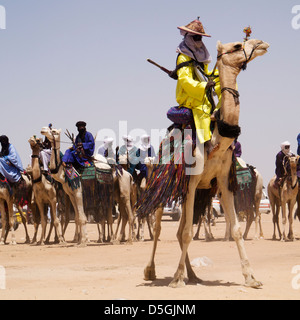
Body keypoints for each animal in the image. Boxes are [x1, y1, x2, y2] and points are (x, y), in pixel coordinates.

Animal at [141, 37, 270, 288]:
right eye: (237, 45)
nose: (261, 43)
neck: (216, 140)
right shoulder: (191, 181)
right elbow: (186, 233)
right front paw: (175, 280)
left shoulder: (223, 181)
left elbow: (235, 229)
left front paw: (251, 278)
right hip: (162, 185)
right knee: (160, 227)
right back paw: (151, 271)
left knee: (180, 229)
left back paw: (191, 274)